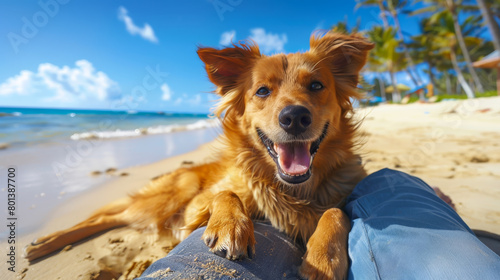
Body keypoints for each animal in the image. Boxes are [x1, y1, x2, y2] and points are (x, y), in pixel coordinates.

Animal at [25, 31, 374, 278]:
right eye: (262, 91)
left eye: (316, 86)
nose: (295, 117)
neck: (289, 187)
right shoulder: (195, 207)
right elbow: (227, 192)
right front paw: (230, 226)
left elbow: (336, 211)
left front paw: (324, 258)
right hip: (169, 198)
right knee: (106, 217)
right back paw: (47, 242)